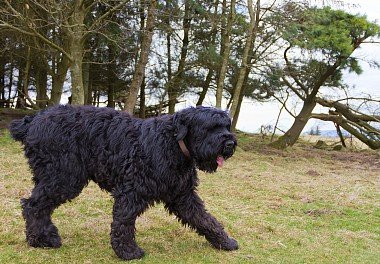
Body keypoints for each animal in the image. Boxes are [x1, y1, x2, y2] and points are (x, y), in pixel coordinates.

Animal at [8, 104, 238, 260]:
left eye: (226, 126)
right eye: (210, 128)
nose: (229, 143)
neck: (173, 144)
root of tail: (32, 122)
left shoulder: (183, 196)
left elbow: (205, 219)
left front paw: (224, 241)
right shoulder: (132, 190)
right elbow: (124, 221)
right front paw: (127, 251)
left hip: (55, 178)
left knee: (38, 206)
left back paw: (44, 237)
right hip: (63, 178)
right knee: (33, 206)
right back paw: (41, 240)